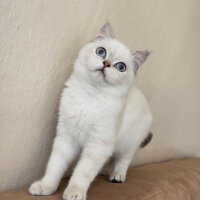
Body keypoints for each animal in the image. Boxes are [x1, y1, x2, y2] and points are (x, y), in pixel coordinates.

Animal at [28, 22, 152, 200]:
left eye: (120, 67)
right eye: (101, 52)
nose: (106, 63)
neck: (89, 95)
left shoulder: (97, 145)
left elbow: (82, 172)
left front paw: (74, 192)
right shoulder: (66, 138)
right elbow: (54, 166)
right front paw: (46, 186)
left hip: (129, 143)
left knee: (123, 160)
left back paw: (117, 176)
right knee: (110, 159)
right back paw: (104, 172)